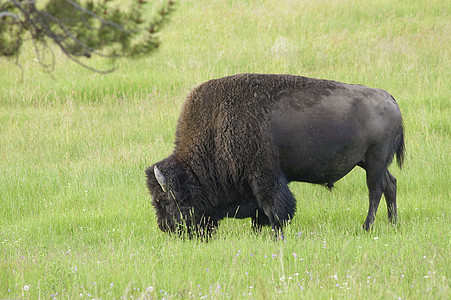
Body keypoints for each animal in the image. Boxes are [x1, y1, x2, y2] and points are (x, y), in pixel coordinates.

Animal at [146, 72, 406, 237]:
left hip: (375, 160)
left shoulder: (264, 177)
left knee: (375, 190)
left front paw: (275, 233)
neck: (216, 127)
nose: (168, 228)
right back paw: (393, 223)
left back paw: (367, 227)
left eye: (167, 201)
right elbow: (261, 211)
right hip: (370, 162)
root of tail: (389, 98)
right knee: (391, 184)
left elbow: (274, 207)